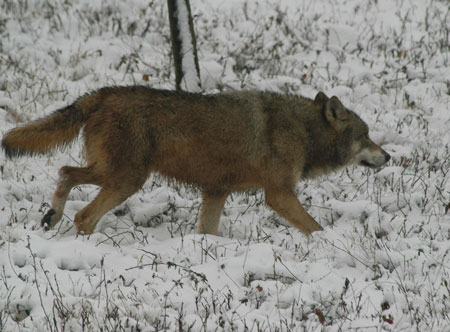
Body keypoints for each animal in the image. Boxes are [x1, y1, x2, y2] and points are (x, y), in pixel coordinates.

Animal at [1, 87, 390, 235]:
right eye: (367, 135)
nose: (388, 156)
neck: (304, 131)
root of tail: (105, 92)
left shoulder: (216, 192)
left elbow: (208, 232)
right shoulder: (279, 195)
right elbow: (315, 227)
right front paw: (330, 245)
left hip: (113, 174)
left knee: (65, 172)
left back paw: (51, 218)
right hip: (126, 179)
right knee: (83, 213)